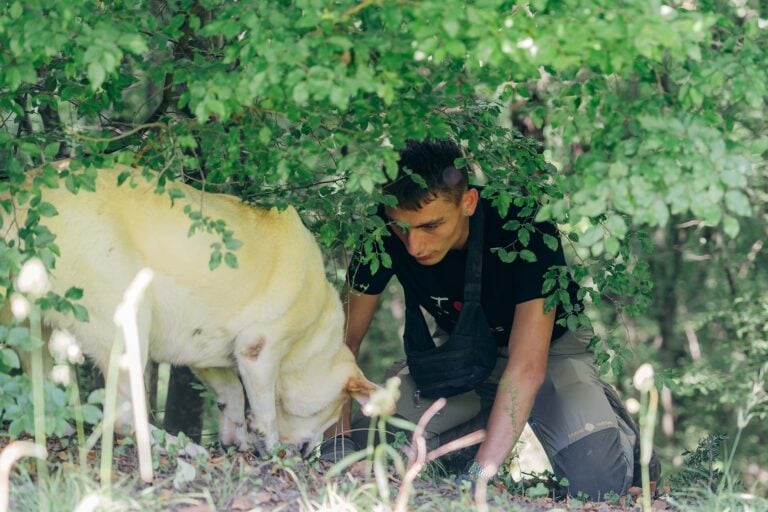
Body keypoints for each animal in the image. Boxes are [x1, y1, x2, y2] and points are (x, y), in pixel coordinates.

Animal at [1, 161, 380, 456]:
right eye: (333, 413)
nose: (306, 454)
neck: (310, 341)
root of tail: (21, 195)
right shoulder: (259, 350)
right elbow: (265, 410)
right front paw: (268, 446)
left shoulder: (209, 353)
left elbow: (230, 394)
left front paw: (236, 439)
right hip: (129, 317)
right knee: (124, 415)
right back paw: (178, 446)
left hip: (31, 328)